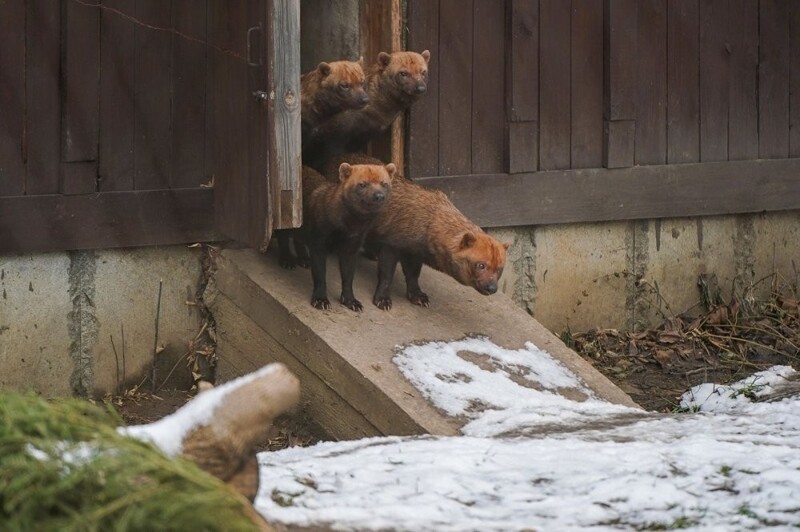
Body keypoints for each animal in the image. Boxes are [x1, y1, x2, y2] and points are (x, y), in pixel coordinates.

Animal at [300, 163, 394, 312]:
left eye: (384, 183)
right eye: (362, 184)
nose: (379, 196)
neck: (345, 227)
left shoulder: (353, 244)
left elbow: (348, 276)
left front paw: (351, 301)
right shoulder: (318, 241)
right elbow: (320, 273)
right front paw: (320, 300)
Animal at [324, 156, 506, 310]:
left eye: (500, 268)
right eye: (481, 265)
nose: (492, 288)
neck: (426, 221)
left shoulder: (415, 252)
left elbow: (413, 275)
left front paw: (417, 295)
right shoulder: (391, 244)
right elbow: (386, 274)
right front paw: (383, 299)